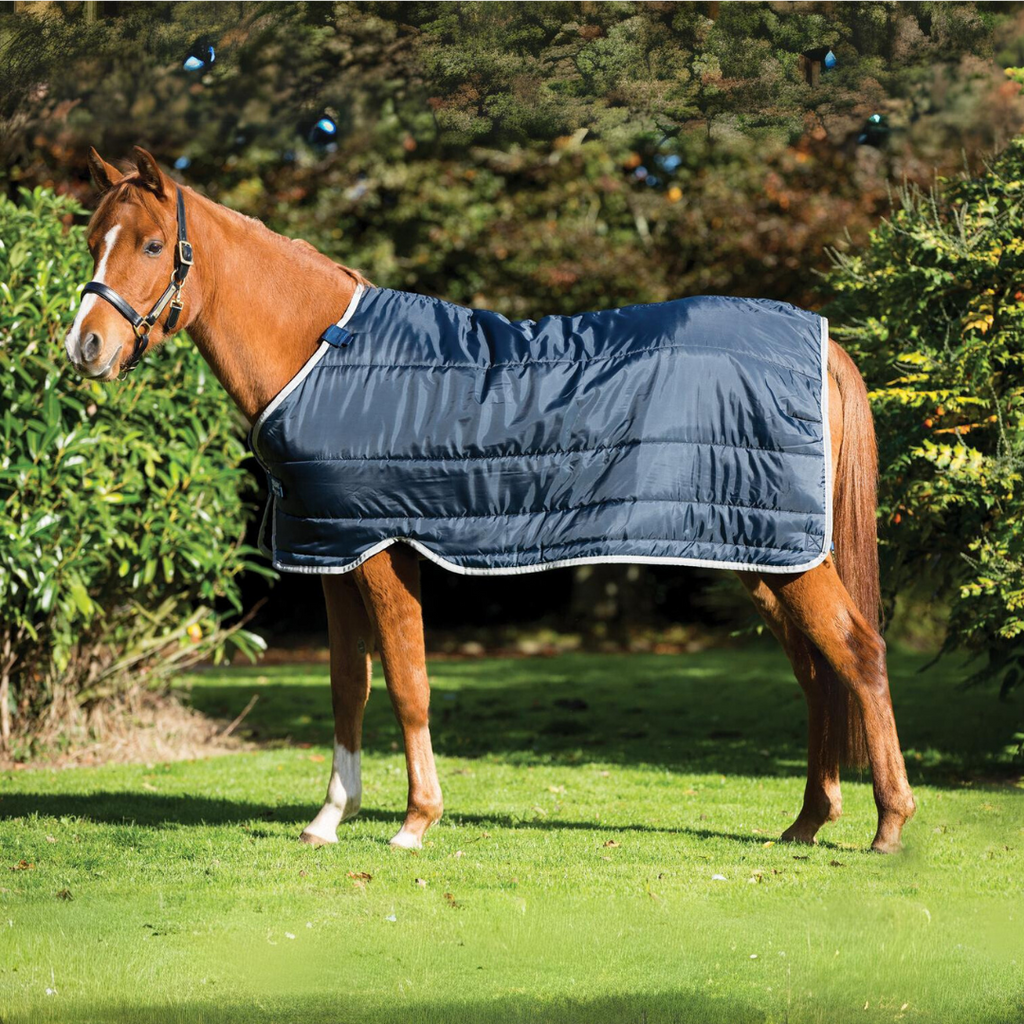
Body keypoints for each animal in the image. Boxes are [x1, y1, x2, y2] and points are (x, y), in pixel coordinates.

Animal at [65, 147, 916, 853]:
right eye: (92, 240)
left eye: (150, 246)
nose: (85, 347)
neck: (322, 353)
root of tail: (820, 343)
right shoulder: (333, 552)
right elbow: (348, 688)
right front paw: (329, 818)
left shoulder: (383, 550)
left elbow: (407, 683)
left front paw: (416, 822)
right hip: (758, 552)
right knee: (818, 670)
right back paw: (807, 822)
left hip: (786, 557)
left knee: (860, 655)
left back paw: (887, 826)